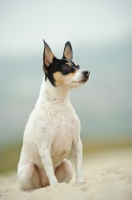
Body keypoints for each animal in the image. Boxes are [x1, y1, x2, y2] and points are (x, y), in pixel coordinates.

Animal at [17, 40, 89, 191]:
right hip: (28, 170)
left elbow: (79, 167)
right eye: (66, 67)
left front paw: (80, 182)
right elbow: (50, 171)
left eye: (78, 66)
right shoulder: (44, 148)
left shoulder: (77, 142)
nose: (87, 72)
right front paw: (55, 186)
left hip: (67, 165)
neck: (59, 103)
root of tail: (44, 184)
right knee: (31, 188)